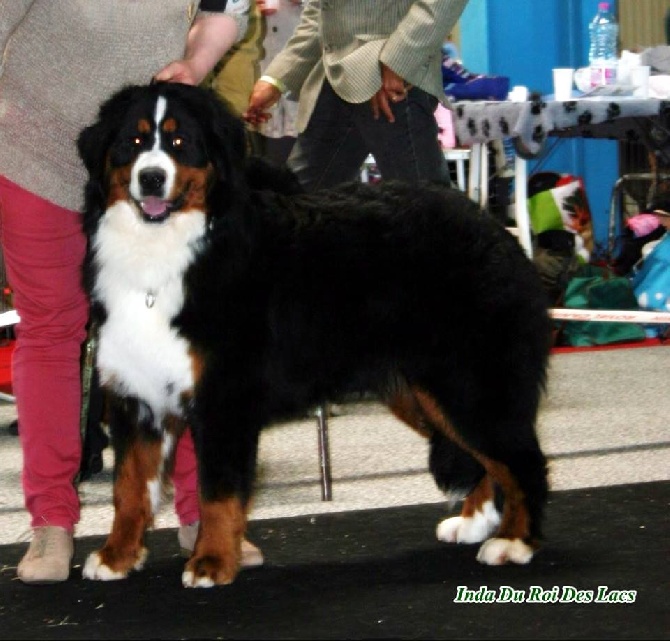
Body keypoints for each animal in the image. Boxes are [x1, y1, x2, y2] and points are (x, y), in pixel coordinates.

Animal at [76, 82, 552, 588]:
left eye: (180, 142)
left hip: (469, 383)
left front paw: (211, 562)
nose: (150, 178)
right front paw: (116, 557)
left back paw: (514, 542)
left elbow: (218, 493)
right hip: (424, 392)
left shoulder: (225, 397)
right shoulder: (136, 395)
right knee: (485, 459)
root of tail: (490, 224)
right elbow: (130, 487)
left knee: (522, 460)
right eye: (133, 141)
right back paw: (472, 523)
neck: (165, 253)